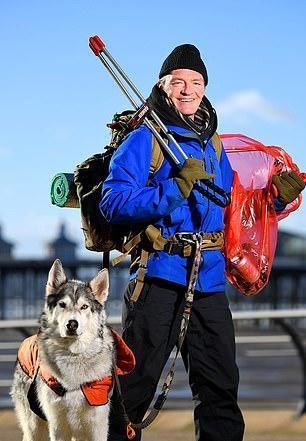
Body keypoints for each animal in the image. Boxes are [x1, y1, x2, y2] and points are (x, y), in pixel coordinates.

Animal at [11, 258, 133, 440]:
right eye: (62, 304)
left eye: (84, 307)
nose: (72, 324)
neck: (73, 355)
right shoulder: (58, 425)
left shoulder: (97, 425)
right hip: (34, 426)